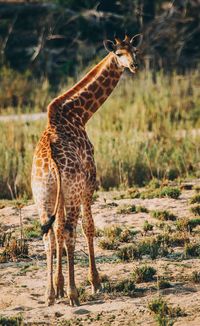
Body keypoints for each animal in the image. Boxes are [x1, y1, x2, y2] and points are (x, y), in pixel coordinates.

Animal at [31, 33, 142, 306]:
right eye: (119, 54)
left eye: (135, 50)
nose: (134, 65)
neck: (80, 114)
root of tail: (51, 162)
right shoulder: (90, 180)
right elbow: (88, 227)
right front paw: (95, 283)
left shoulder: (60, 195)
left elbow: (57, 231)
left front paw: (58, 286)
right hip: (72, 192)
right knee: (70, 231)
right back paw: (74, 294)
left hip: (43, 196)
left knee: (49, 235)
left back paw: (50, 294)